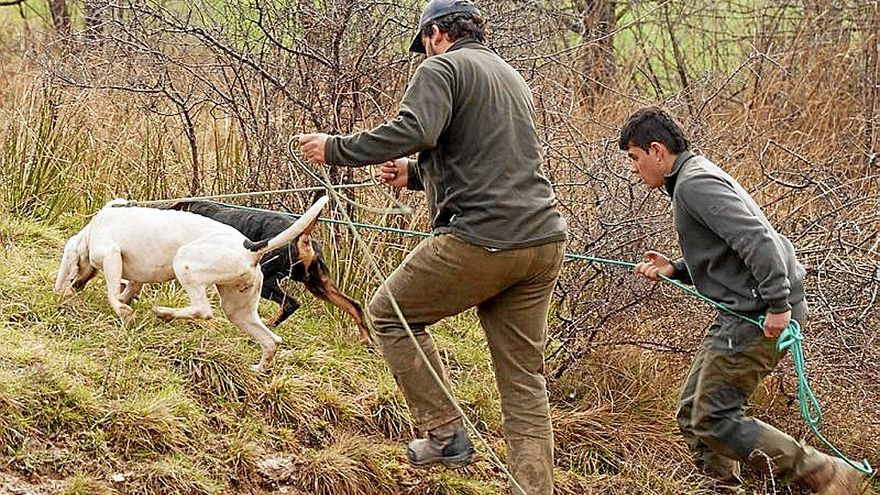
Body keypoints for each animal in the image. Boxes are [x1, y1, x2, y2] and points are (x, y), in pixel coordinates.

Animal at [55, 196, 330, 370]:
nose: (74, 288)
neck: (93, 228)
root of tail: (250, 247)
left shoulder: (112, 256)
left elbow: (114, 296)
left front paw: (124, 312)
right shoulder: (134, 278)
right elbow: (128, 288)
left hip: (185, 264)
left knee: (203, 310)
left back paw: (164, 313)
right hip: (238, 310)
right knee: (272, 341)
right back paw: (259, 369)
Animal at [168, 201, 372, 344]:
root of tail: (302, 238)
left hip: (266, 281)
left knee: (290, 303)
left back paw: (266, 325)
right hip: (319, 285)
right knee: (354, 305)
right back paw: (366, 340)